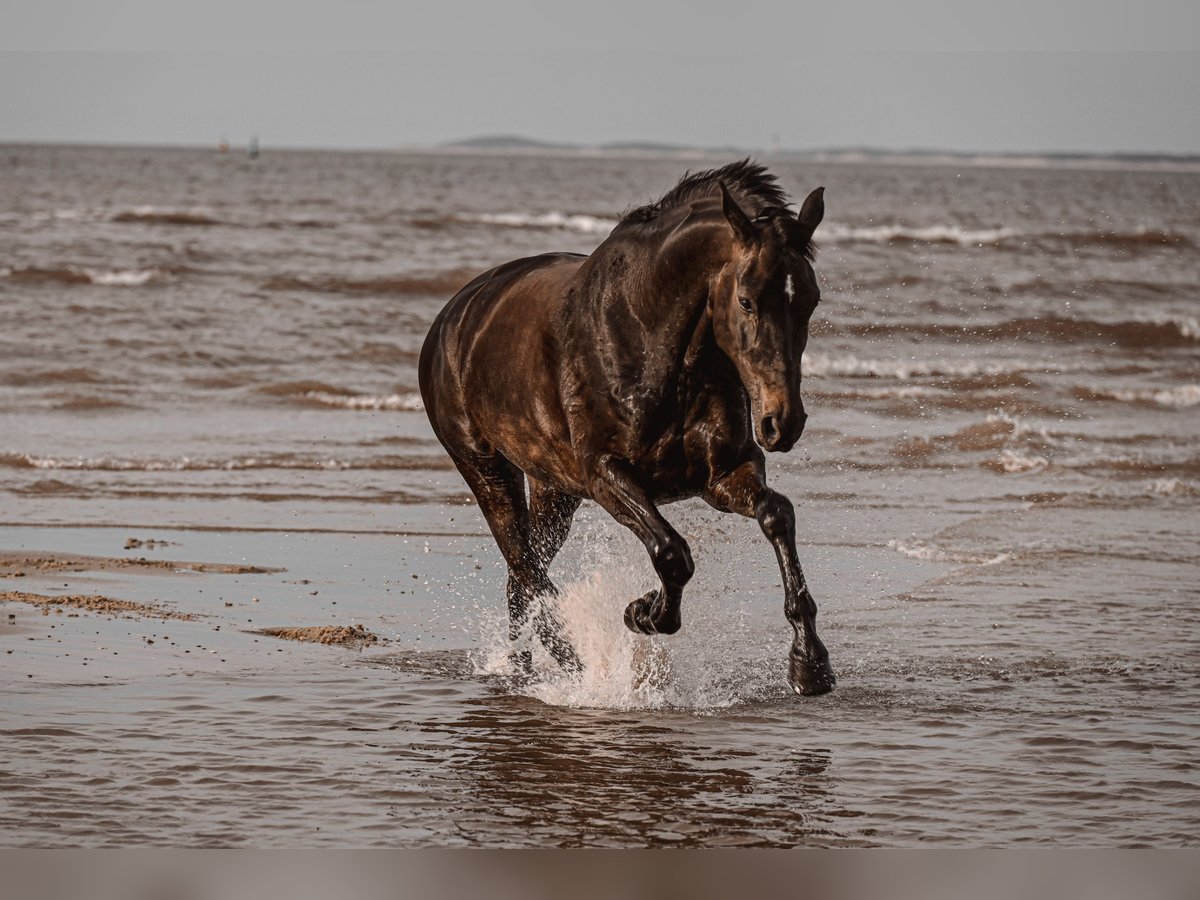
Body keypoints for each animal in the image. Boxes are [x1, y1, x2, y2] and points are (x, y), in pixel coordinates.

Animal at [420, 162, 835, 696]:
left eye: (811, 300)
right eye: (746, 301)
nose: (783, 423)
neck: (653, 343)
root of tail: (454, 315)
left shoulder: (724, 475)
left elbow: (777, 516)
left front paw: (810, 664)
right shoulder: (606, 473)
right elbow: (672, 552)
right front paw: (644, 613)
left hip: (555, 489)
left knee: (523, 575)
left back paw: (527, 668)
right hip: (487, 470)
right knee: (526, 569)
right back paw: (573, 667)